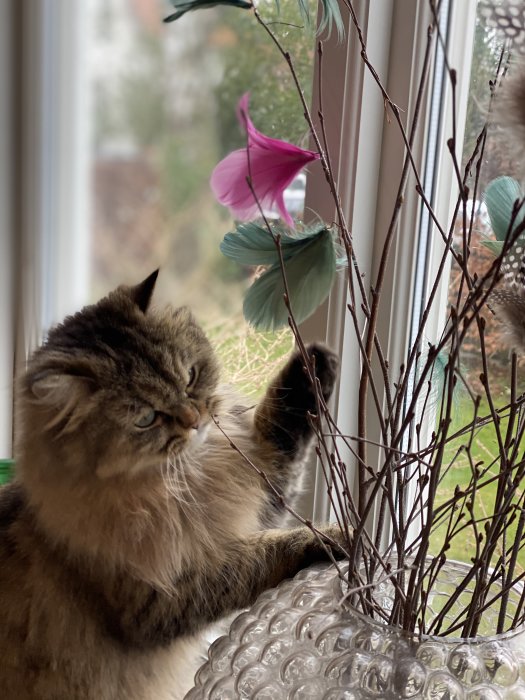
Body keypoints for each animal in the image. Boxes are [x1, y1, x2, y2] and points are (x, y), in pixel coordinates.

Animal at [0, 270, 344, 700]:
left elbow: (282, 438)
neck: (181, 478)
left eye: (190, 376)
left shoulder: (259, 487)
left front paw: (315, 365)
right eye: (147, 418)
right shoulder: (164, 595)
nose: (194, 420)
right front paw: (337, 538)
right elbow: (267, 553)